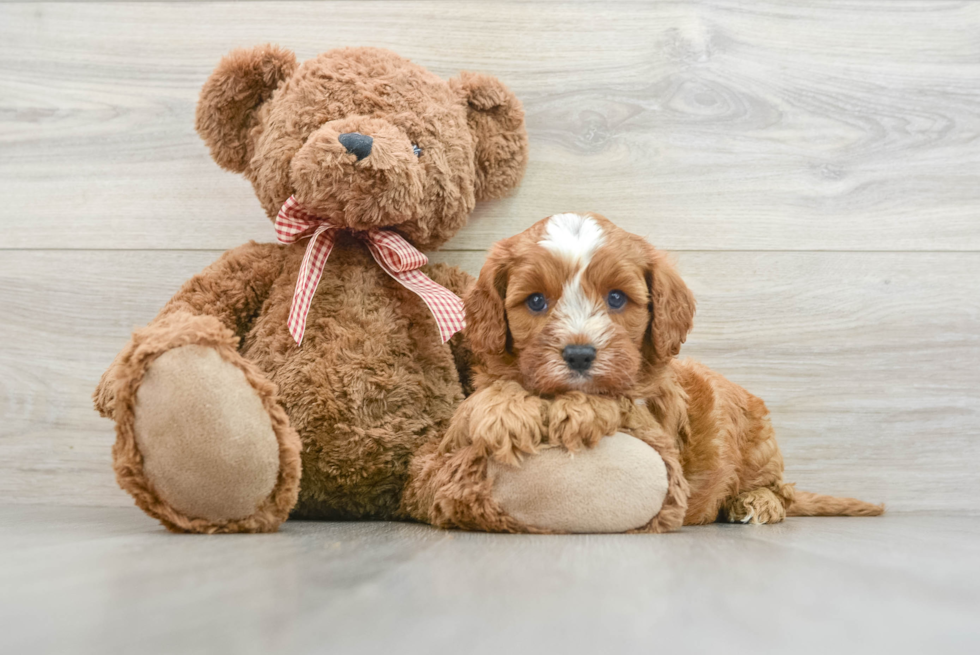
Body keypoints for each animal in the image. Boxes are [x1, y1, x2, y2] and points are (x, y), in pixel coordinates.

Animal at [456, 215, 884, 528]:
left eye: (616, 298)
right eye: (536, 301)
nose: (579, 356)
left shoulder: (657, 420)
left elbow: (618, 399)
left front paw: (580, 410)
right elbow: (499, 387)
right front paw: (501, 411)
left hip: (760, 446)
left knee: (781, 490)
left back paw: (755, 501)